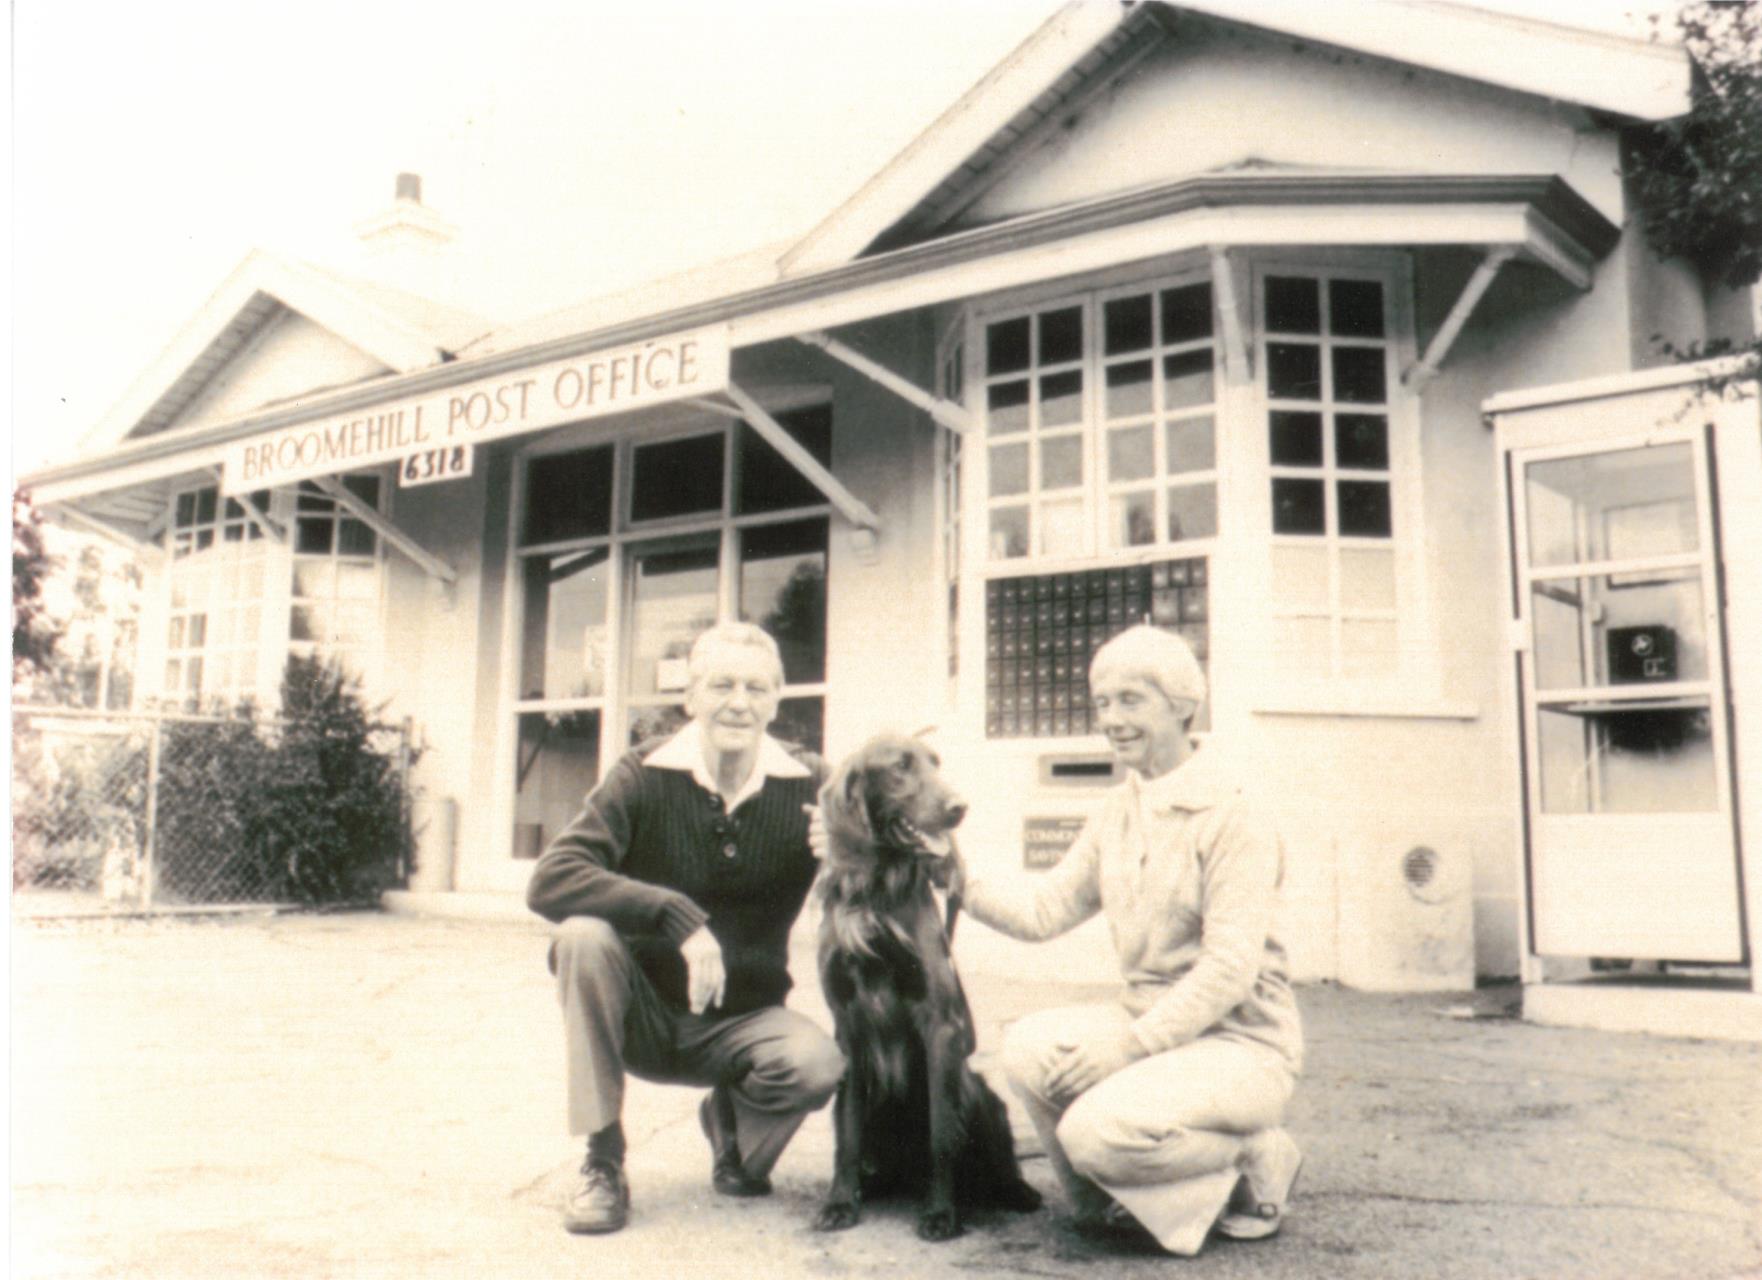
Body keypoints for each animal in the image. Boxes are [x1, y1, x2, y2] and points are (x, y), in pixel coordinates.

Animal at [814, 736, 1043, 1248]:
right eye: (900, 767)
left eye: (936, 764)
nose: (959, 808)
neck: (878, 893)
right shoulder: (847, 1031)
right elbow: (846, 1133)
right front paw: (840, 1203)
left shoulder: (940, 1023)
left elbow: (942, 1134)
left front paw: (940, 1214)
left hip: (977, 1090)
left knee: (996, 1156)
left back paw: (1016, 1191)